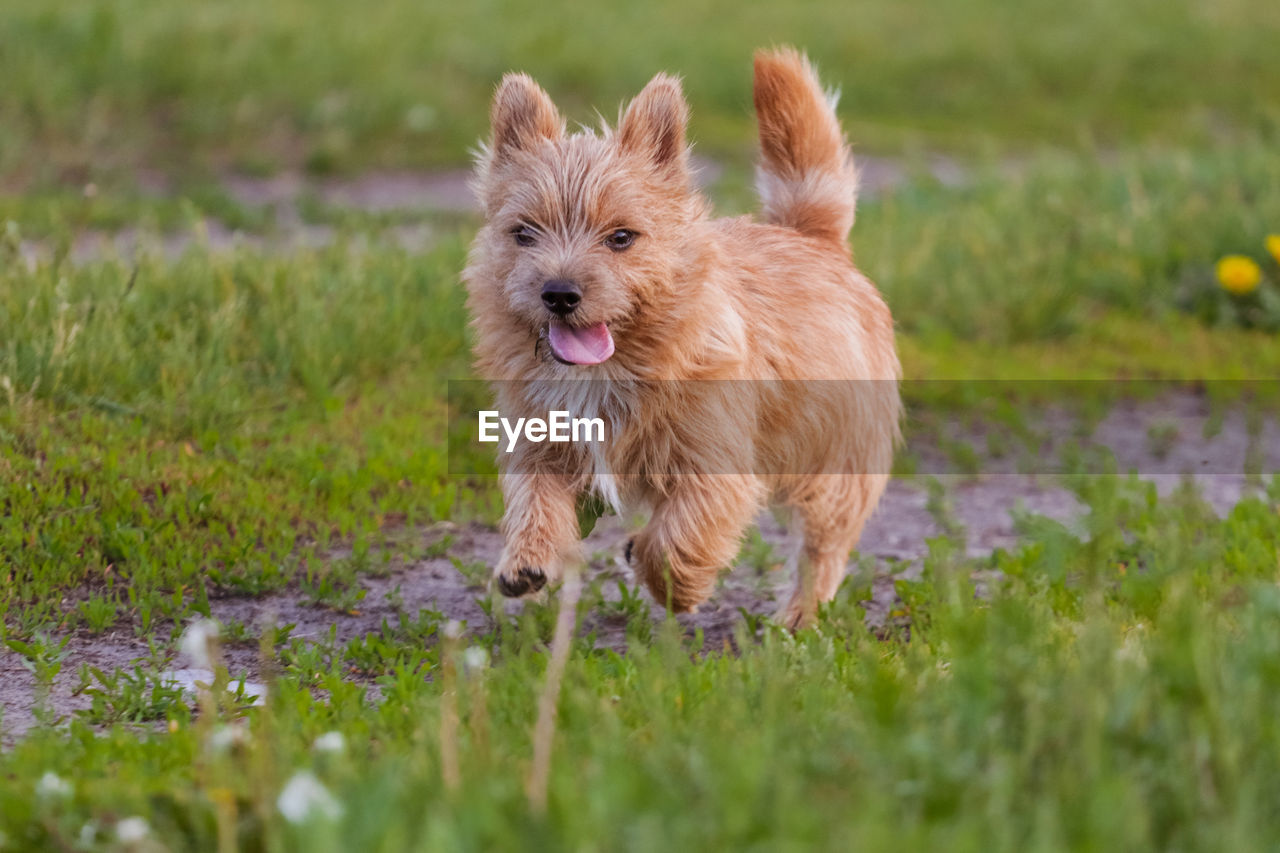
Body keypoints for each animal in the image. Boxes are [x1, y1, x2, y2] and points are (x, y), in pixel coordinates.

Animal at [463, 49, 901, 627]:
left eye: (621, 237)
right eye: (524, 233)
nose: (558, 293)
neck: (617, 365)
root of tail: (812, 235)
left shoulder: (713, 466)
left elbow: (678, 539)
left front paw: (673, 586)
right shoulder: (541, 445)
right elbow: (534, 499)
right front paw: (528, 559)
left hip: (836, 460)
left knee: (823, 546)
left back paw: (798, 618)